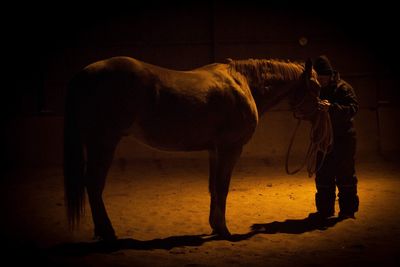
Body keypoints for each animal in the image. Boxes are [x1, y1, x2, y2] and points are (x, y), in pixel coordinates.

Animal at [65, 55, 322, 242]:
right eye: (316, 87)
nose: (321, 117)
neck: (243, 84)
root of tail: (83, 74)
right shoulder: (230, 149)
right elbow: (222, 188)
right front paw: (224, 230)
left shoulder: (214, 150)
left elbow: (213, 188)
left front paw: (215, 226)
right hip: (103, 142)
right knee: (94, 184)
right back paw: (108, 233)